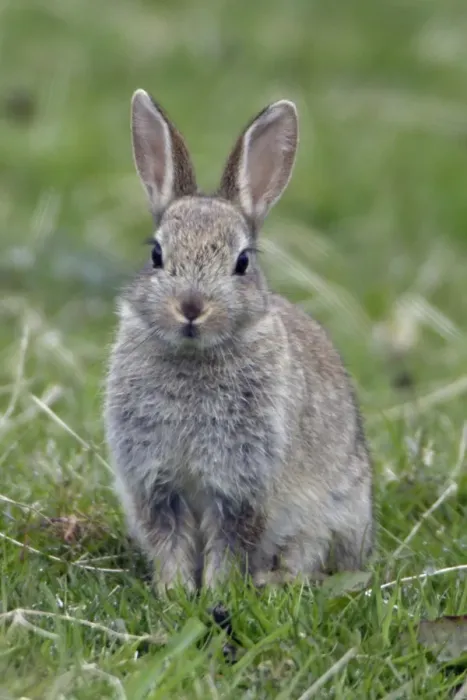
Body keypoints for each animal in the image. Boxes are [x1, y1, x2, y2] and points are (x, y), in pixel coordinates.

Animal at [104, 89, 374, 591]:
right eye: (156, 255)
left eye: (243, 262)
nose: (191, 307)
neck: (194, 357)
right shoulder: (156, 484)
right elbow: (170, 541)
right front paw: (174, 593)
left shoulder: (241, 487)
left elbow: (230, 544)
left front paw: (214, 592)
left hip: (326, 517)